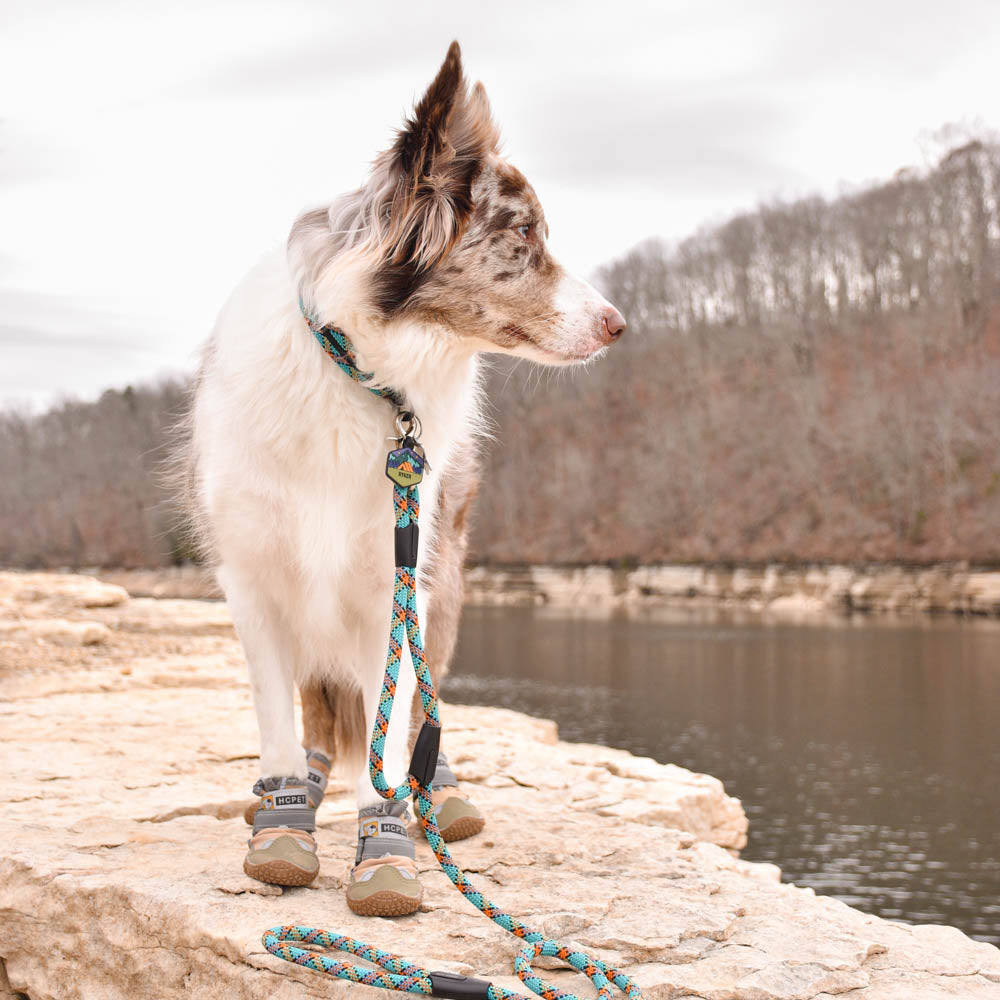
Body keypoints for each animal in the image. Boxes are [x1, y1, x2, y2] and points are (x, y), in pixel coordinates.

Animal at [182, 39, 624, 916]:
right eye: (524, 233)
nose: (619, 324)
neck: (362, 374)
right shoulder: (252, 577)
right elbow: (281, 724)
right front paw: (284, 823)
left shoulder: (395, 575)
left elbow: (392, 734)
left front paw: (384, 846)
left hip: (442, 571)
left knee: (422, 701)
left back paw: (437, 794)